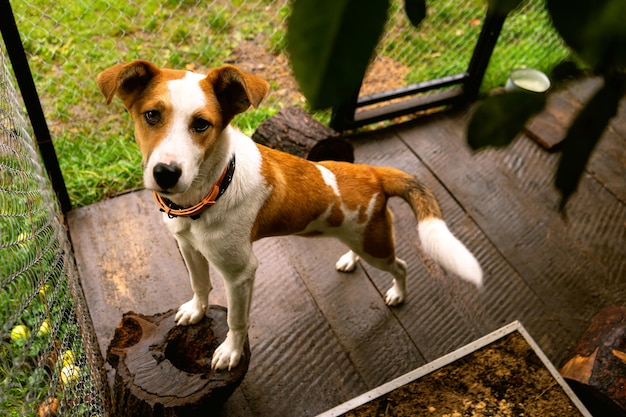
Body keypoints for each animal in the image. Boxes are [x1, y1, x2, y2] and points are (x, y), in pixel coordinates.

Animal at [96, 59, 482, 370]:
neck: (210, 192)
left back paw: (398, 294)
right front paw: (196, 310)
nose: (165, 173)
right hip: (357, 236)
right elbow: (200, 285)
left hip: (376, 247)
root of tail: (372, 172)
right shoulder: (190, 249)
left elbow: (237, 320)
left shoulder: (240, 274)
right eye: (151, 115)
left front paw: (231, 352)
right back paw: (349, 260)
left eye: (202, 125)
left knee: (400, 266)